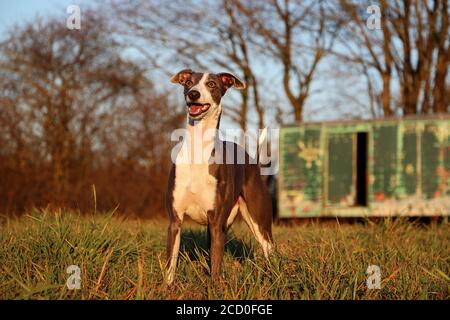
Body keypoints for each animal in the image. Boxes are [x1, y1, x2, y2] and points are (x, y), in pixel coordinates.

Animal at [164, 69, 272, 284]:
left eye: (212, 84)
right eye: (188, 82)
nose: (193, 94)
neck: (197, 151)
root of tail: (252, 161)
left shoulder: (215, 223)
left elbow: (215, 267)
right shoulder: (175, 221)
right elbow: (171, 264)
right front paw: (166, 286)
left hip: (259, 221)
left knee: (269, 249)